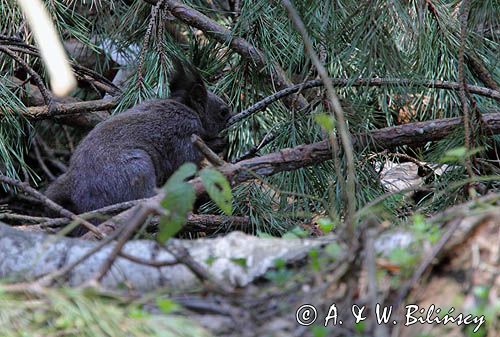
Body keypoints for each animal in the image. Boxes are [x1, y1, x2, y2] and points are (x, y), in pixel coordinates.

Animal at [45, 61, 230, 232]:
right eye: (223, 112)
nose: (232, 115)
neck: (187, 108)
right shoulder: (184, 135)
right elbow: (189, 158)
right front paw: (220, 142)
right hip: (138, 168)